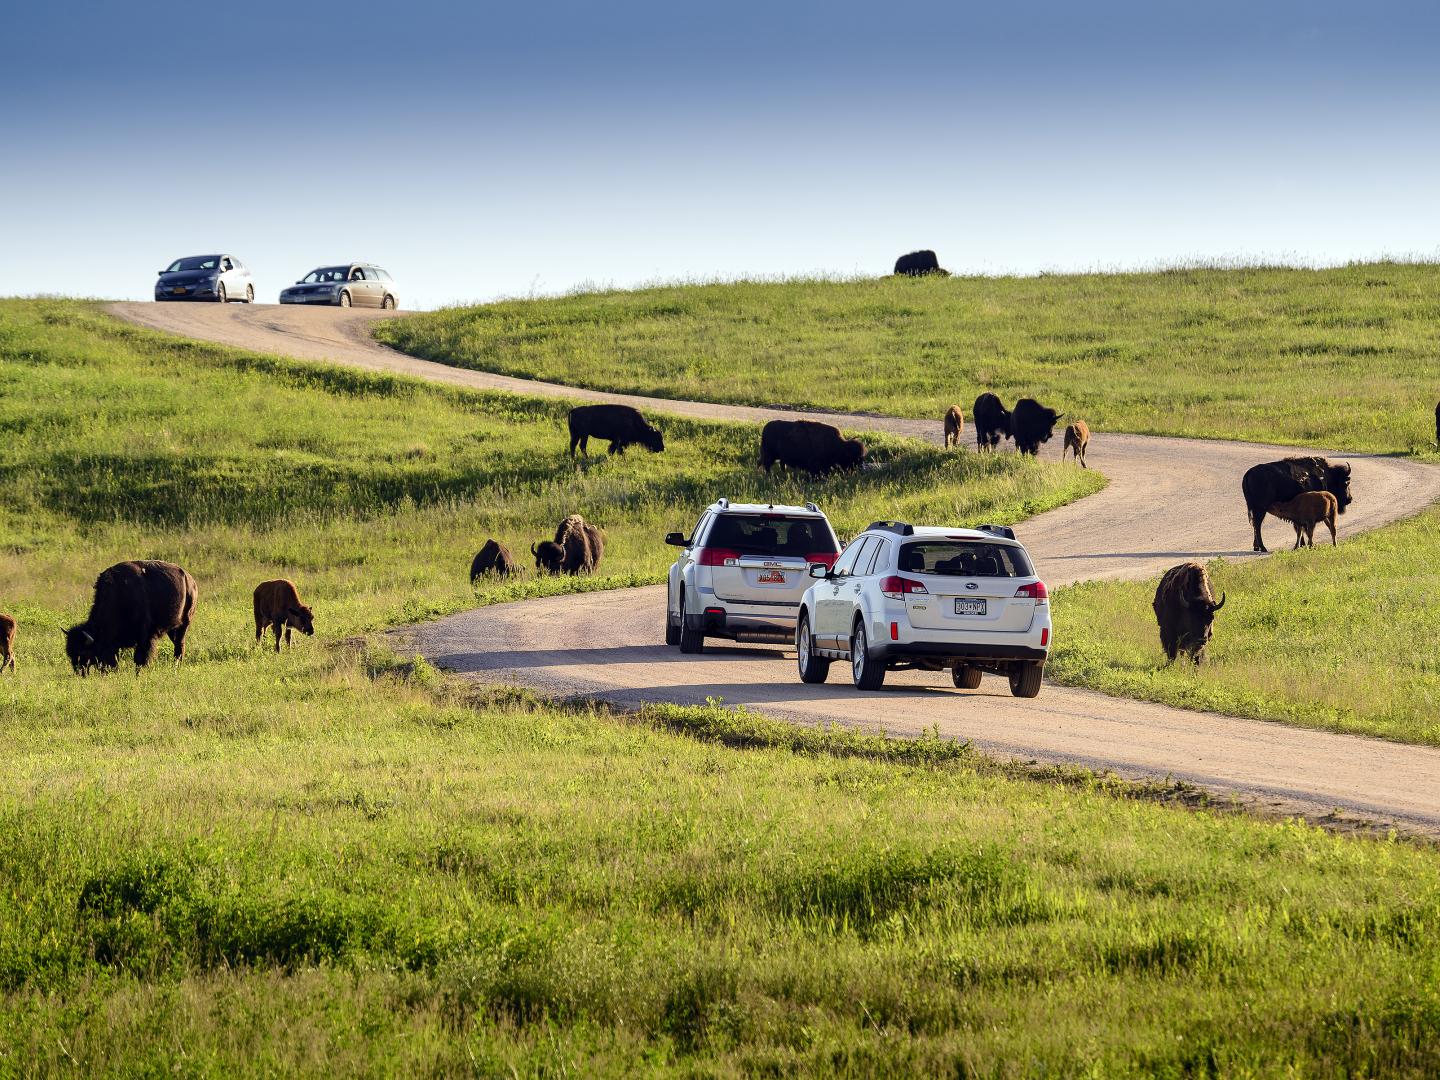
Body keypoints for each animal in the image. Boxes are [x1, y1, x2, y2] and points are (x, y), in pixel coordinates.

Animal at [65, 560, 198, 674]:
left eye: (84, 652)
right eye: (69, 652)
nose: (79, 671)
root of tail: (190, 580)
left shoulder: (145, 637)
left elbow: (140, 659)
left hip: (184, 624)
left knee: (179, 646)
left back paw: (175, 667)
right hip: (172, 629)